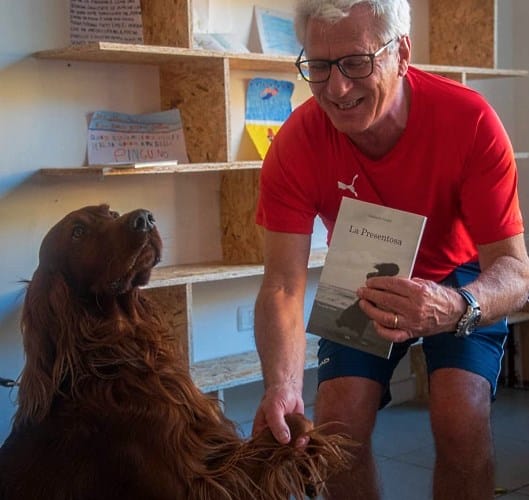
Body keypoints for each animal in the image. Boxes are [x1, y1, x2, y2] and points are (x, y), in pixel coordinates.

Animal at [0, 205, 350, 498]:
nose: (144, 218)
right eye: (77, 232)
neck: (122, 347)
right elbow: (291, 426)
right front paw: (304, 446)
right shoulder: (198, 485)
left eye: (111, 212)